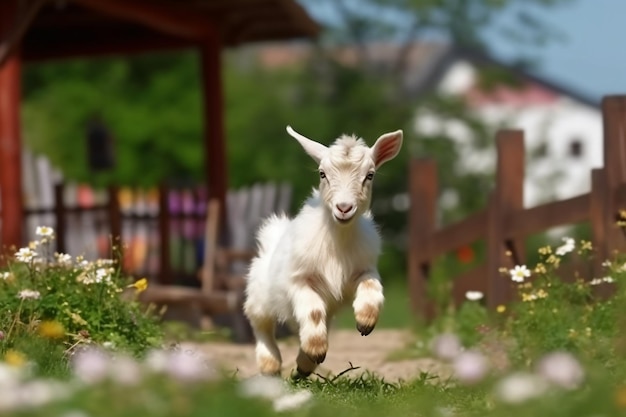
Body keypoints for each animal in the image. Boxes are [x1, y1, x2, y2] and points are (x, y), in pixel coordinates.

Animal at [241, 125, 402, 376]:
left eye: (370, 175)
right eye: (322, 174)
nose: (344, 208)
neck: (338, 239)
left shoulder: (363, 270)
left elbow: (371, 288)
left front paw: (365, 322)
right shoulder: (300, 281)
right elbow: (313, 312)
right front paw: (315, 351)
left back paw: (303, 366)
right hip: (260, 296)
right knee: (261, 324)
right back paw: (271, 364)